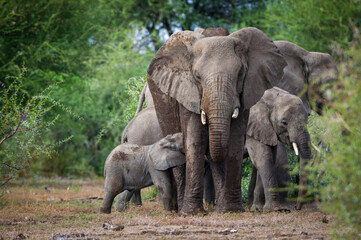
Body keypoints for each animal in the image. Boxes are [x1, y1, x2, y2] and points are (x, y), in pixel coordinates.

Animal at [145, 27, 286, 214]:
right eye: (197, 76)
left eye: (240, 74)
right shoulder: (188, 91)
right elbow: (195, 140)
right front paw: (192, 213)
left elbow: (234, 141)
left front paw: (233, 210)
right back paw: (180, 209)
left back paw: (221, 208)